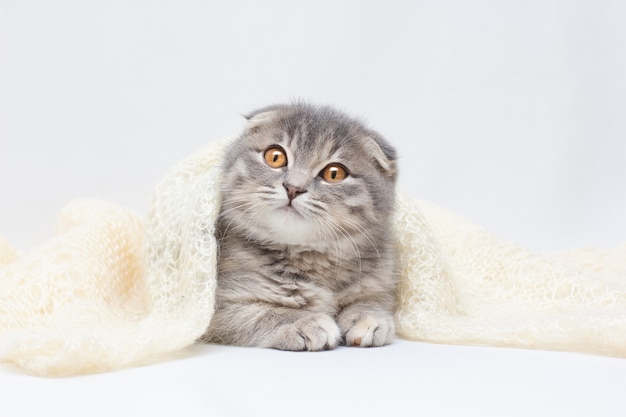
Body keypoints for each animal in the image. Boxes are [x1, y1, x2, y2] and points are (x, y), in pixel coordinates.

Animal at [197, 102, 398, 350]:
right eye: (275, 157)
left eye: (334, 173)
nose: (293, 187)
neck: (311, 258)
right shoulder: (215, 309)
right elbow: (261, 312)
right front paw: (305, 322)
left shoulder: (379, 278)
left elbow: (371, 300)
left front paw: (370, 317)